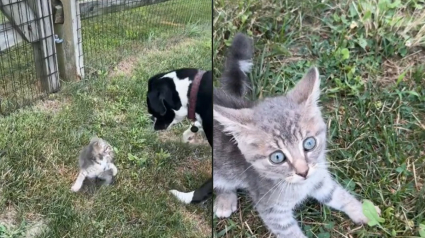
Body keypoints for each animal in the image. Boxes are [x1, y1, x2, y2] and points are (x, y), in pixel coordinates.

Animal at [214, 34, 370, 238]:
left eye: (309, 143)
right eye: (277, 157)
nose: (303, 172)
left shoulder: (318, 177)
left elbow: (335, 193)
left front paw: (363, 210)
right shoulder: (273, 212)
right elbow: (292, 233)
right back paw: (225, 198)